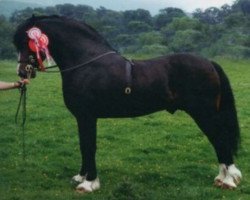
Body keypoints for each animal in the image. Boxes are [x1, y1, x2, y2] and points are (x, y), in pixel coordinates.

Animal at [13, 14, 242, 191]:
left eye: (26, 42)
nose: (22, 72)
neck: (85, 62)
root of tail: (209, 63)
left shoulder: (88, 116)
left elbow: (89, 146)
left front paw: (89, 183)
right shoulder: (81, 118)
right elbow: (83, 146)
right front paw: (81, 177)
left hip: (205, 113)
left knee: (220, 139)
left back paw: (229, 180)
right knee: (218, 141)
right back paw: (222, 178)